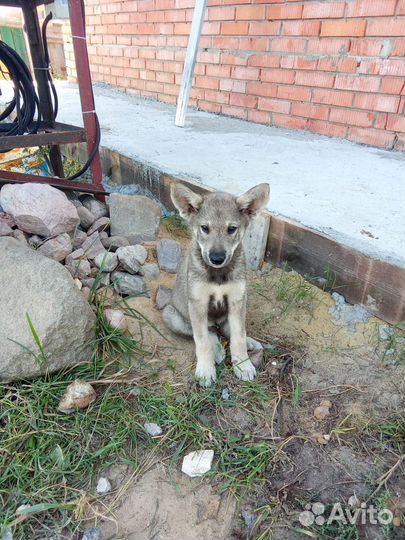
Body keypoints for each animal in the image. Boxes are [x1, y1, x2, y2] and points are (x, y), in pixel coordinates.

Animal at [161, 184, 268, 386]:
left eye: (232, 229)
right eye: (205, 228)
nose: (216, 258)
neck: (218, 274)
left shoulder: (236, 299)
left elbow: (238, 337)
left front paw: (243, 365)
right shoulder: (198, 303)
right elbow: (202, 341)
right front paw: (205, 370)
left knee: (227, 329)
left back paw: (250, 342)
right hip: (171, 315)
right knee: (208, 332)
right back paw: (217, 352)